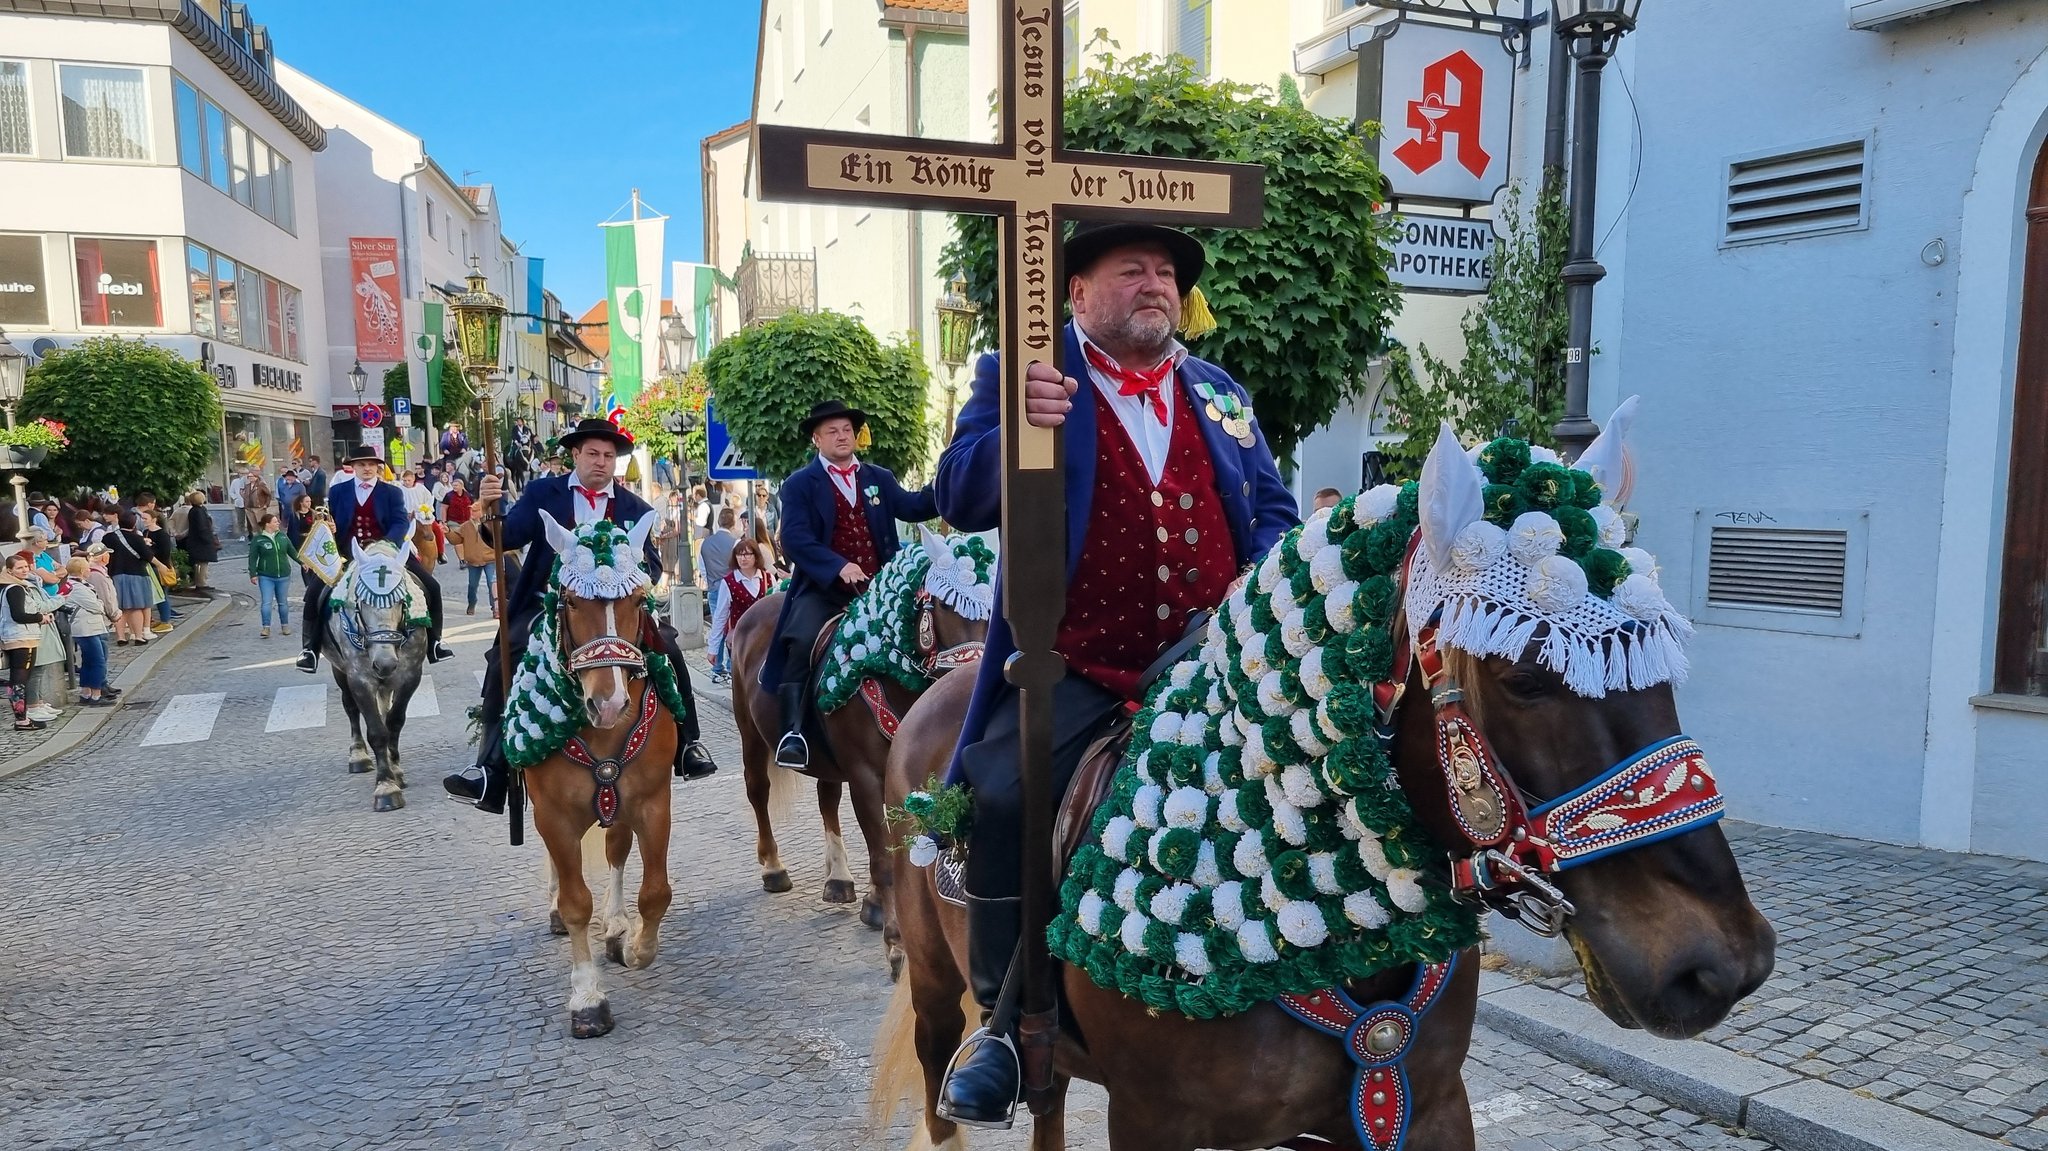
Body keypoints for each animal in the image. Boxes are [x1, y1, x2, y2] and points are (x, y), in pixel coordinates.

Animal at [325, 536, 430, 806]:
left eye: (402, 601)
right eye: (362, 602)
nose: (384, 663)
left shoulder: (410, 675)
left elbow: (394, 721)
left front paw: (396, 772)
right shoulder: (359, 679)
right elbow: (376, 731)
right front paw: (386, 786)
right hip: (339, 671)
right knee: (351, 708)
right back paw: (358, 756)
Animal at [516, 505, 675, 1036]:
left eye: (638, 598)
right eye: (568, 600)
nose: (608, 704)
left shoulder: (652, 803)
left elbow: (655, 892)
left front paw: (635, 947)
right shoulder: (554, 817)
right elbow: (575, 902)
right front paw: (587, 999)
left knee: (615, 849)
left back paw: (617, 924)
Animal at [733, 528, 995, 958]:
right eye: (943, 605)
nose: (973, 680)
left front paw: (878, 908)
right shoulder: (867, 778)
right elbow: (883, 857)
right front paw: (895, 939)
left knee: (827, 800)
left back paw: (839, 879)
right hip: (751, 735)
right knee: (758, 791)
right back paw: (774, 868)